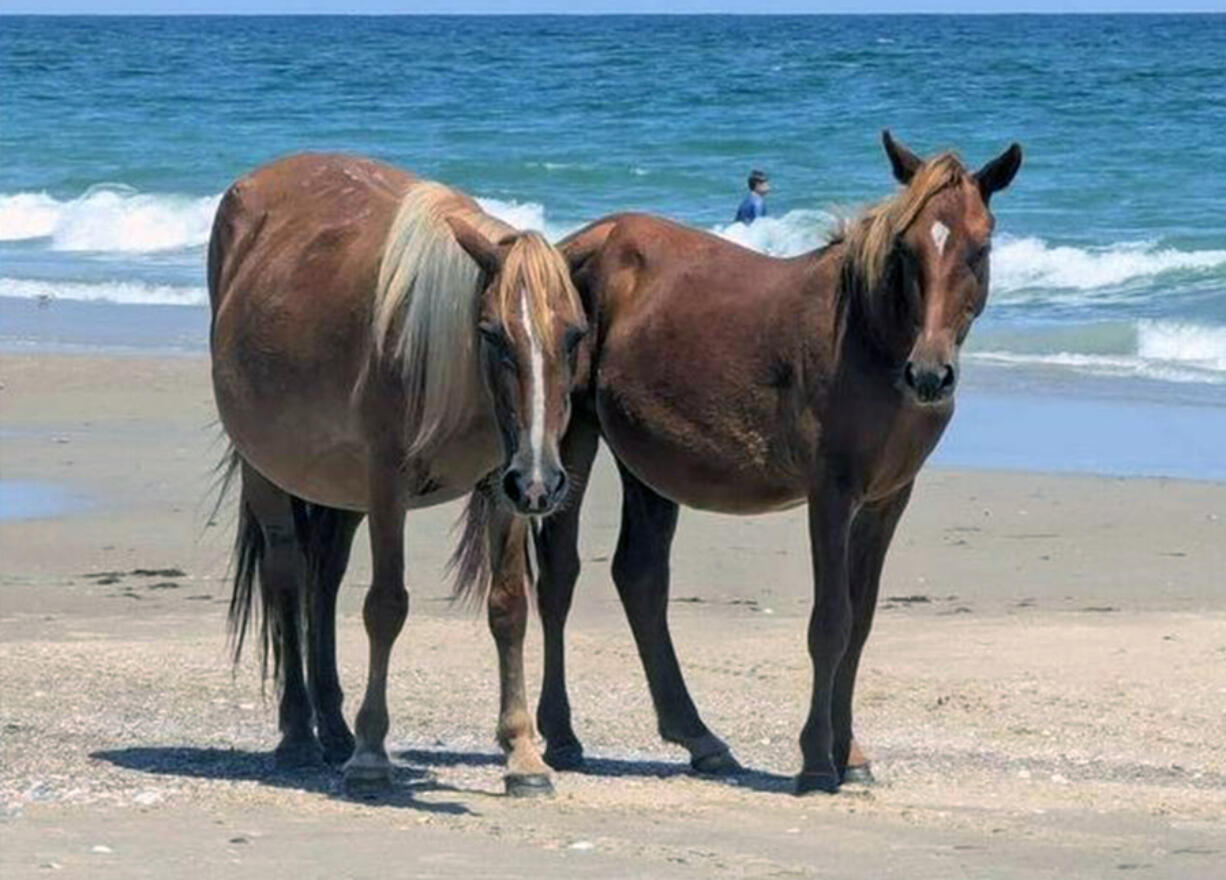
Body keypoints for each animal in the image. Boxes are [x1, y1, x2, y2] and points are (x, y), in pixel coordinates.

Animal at [209, 153, 588, 799]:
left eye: (574, 336)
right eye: (491, 334)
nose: (543, 481)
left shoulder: (505, 487)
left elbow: (509, 607)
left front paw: (522, 754)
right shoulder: (388, 486)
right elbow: (386, 606)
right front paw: (371, 755)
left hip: (340, 491)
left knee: (323, 580)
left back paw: (333, 727)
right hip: (268, 474)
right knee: (288, 577)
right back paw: (299, 734)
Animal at [456, 132, 1020, 799]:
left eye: (980, 246)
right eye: (907, 249)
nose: (930, 374)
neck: (869, 341)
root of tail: (571, 249)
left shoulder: (887, 499)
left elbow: (859, 624)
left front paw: (851, 754)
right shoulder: (832, 496)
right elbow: (831, 622)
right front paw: (817, 761)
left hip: (649, 466)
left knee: (640, 578)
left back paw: (698, 737)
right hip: (571, 440)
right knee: (562, 578)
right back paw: (563, 737)